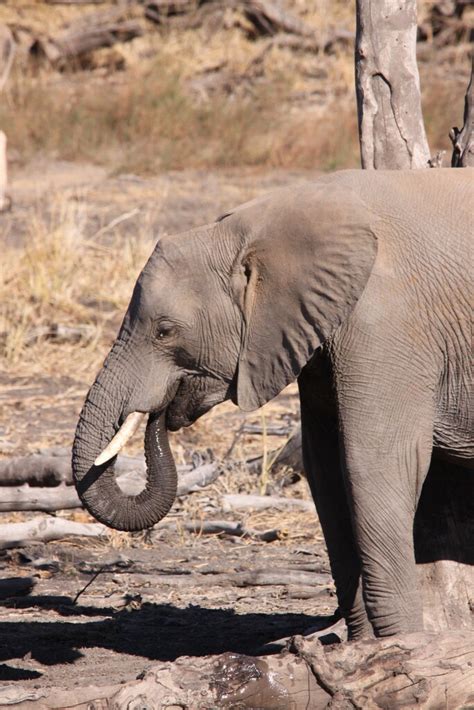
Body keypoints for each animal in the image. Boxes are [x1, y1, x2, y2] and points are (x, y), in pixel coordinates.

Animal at [72, 171, 472, 640]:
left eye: (164, 331)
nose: (159, 416)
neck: (250, 227)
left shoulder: (386, 321)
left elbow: (373, 463)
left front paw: (403, 646)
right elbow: (326, 470)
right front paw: (359, 645)